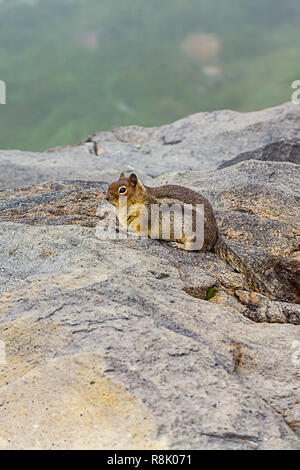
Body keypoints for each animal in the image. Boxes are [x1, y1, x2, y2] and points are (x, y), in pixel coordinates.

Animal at [106, 173, 298, 302]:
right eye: (110, 185)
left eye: (122, 190)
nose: (106, 197)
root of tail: (216, 235)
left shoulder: (145, 219)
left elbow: (137, 230)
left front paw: (119, 228)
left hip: (193, 234)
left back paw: (179, 245)